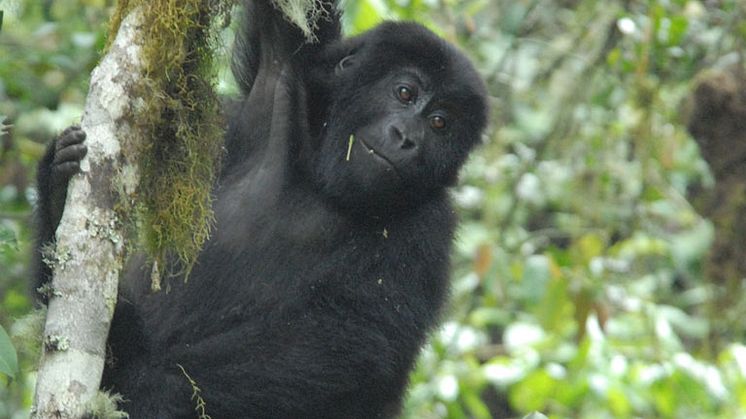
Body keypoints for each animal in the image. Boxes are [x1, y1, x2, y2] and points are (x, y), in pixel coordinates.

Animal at [33, 1, 488, 418]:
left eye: (440, 123)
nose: (407, 137)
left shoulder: (428, 231)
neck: (323, 183)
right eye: (405, 93)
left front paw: (143, 384)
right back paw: (56, 197)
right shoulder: (281, 81)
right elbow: (285, 24)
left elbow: (351, 342)